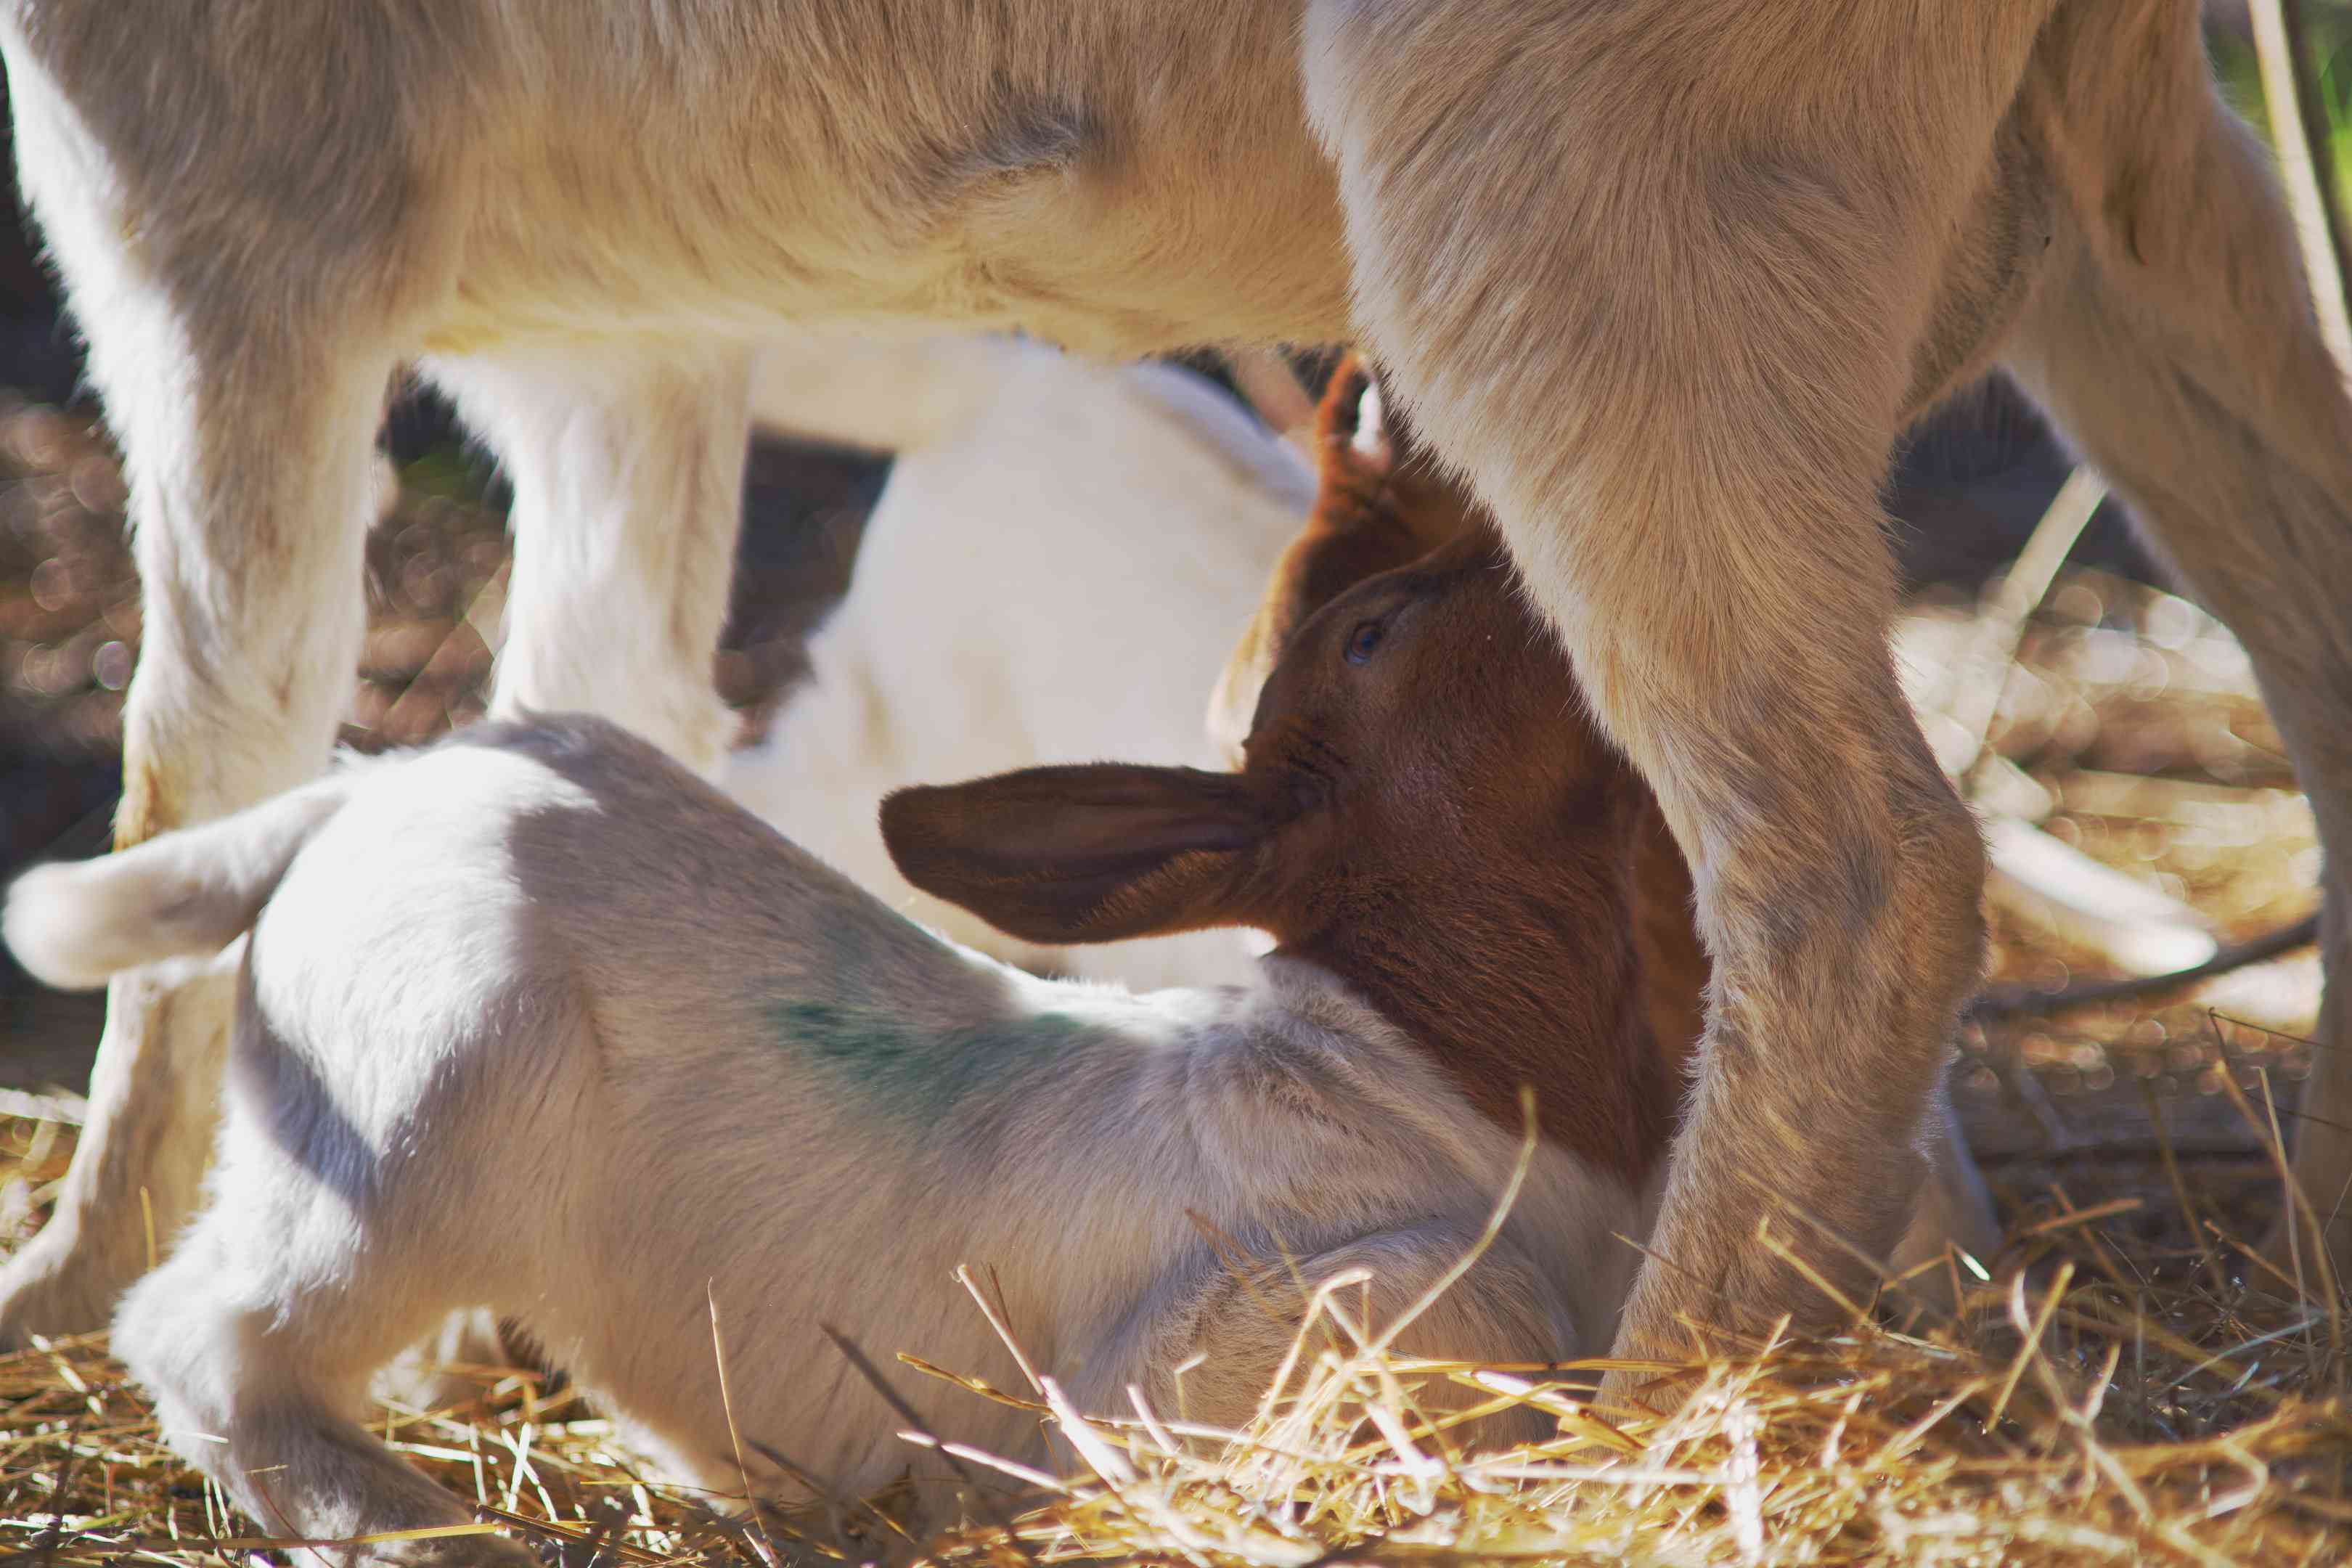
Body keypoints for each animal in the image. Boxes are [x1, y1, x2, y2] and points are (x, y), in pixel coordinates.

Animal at [9, 512, 1693, 1561]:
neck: (1419, 1060)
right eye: (1377, 634)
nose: (1527, 552)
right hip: (417, 1116)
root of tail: (375, 789)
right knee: (208, 1336)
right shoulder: (1283, 1330)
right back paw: (435, 1536)